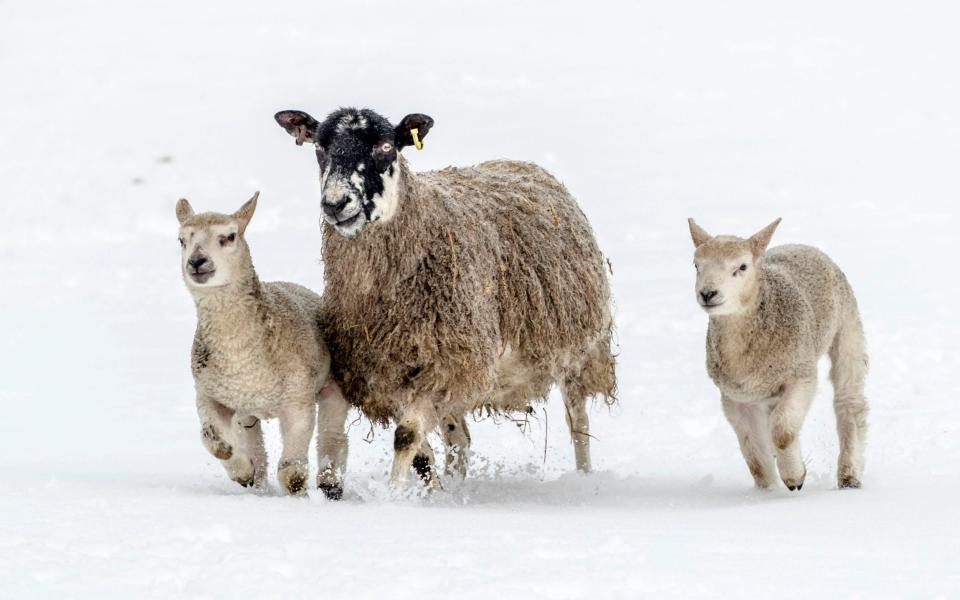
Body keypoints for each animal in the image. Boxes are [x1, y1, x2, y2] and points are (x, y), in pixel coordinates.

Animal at [175, 192, 348, 496]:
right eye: (181, 240)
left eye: (229, 236)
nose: (196, 261)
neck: (241, 355)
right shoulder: (209, 393)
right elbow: (212, 441)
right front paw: (241, 470)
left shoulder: (297, 399)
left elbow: (292, 473)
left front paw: (299, 495)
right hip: (245, 407)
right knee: (255, 445)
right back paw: (255, 483)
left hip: (333, 384)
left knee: (334, 435)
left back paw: (330, 484)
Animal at [272, 105, 616, 486]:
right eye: (320, 147)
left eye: (386, 147)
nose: (335, 204)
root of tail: (521, 164)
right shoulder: (391, 374)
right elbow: (422, 452)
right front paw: (430, 490)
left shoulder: (441, 365)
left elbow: (405, 437)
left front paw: (392, 494)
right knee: (459, 439)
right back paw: (455, 481)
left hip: (577, 349)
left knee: (578, 424)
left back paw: (583, 476)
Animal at [688, 218, 868, 490]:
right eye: (696, 265)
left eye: (742, 266)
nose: (708, 293)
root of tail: (802, 245)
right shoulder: (735, 398)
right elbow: (753, 451)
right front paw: (768, 491)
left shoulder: (801, 375)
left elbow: (782, 432)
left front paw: (795, 477)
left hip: (847, 327)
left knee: (849, 402)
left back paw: (849, 476)